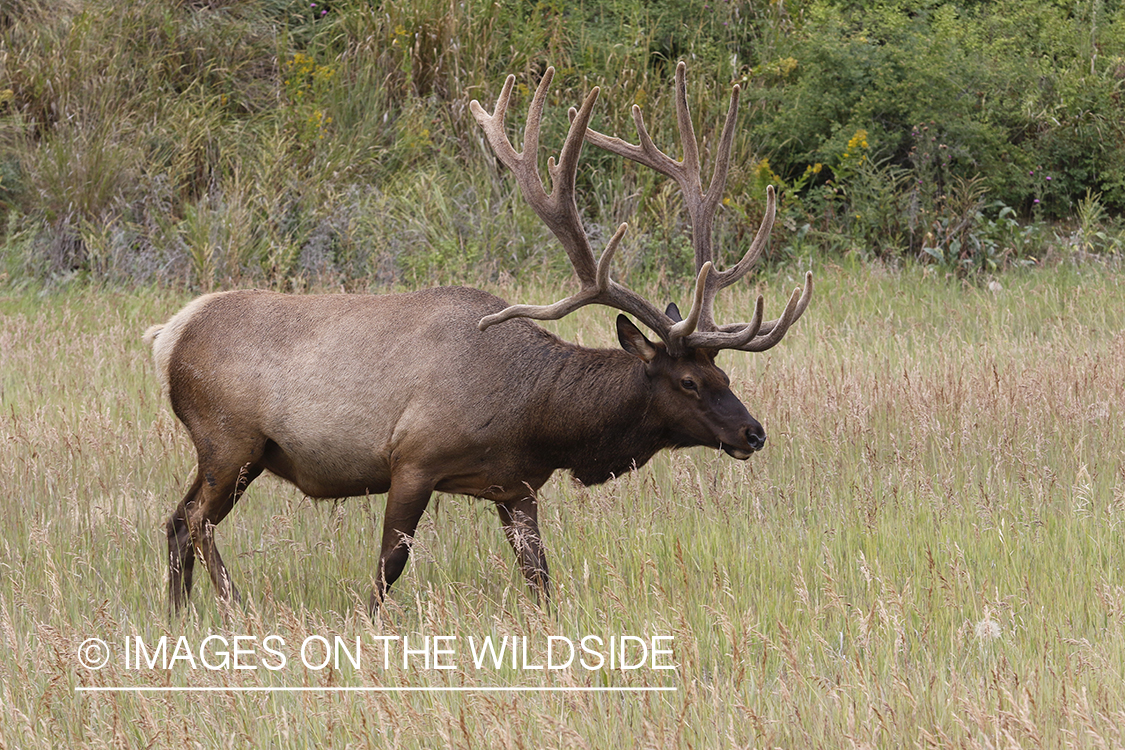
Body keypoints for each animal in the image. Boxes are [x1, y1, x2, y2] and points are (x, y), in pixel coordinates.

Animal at [147, 62, 810, 616]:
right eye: (690, 382)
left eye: (726, 375)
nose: (754, 432)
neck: (538, 417)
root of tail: (169, 334)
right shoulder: (413, 458)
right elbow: (389, 565)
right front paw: (363, 624)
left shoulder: (515, 487)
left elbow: (540, 577)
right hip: (230, 440)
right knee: (194, 521)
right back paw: (233, 608)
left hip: (232, 452)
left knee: (177, 521)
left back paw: (181, 616)